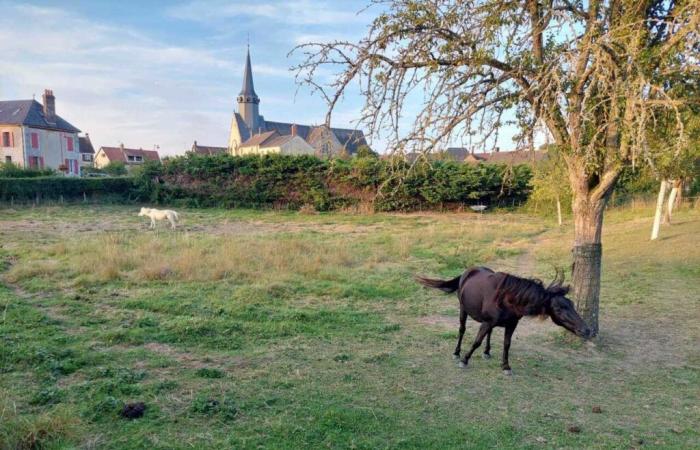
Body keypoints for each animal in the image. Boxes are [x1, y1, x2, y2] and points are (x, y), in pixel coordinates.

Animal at [416, 266, 592, 374]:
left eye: (571, 304)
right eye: (559, 308)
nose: (587, 330)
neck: (507, 298)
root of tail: (468, 272)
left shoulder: (511, 324)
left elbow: (506, 344)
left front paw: (506, 366)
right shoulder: (487, 322)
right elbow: (476, 341)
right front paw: (465, 359)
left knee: (490, 333)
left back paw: (487, 352)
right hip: (463, 309)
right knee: (462, 330)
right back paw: (457, 353)